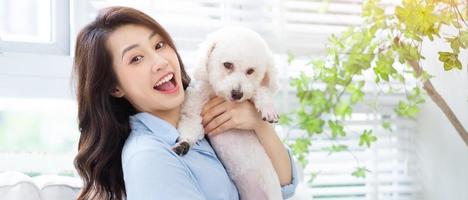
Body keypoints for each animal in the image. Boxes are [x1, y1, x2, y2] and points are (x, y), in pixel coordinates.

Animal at [173, 27, 280, 200]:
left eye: (250, 71)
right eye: (228, 65)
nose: (237, 93)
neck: (216, 93)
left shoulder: (251, 90)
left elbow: (260, 91)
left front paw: (269, 108)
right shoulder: (193, 108)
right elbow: (191, 125)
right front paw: (184, 143)